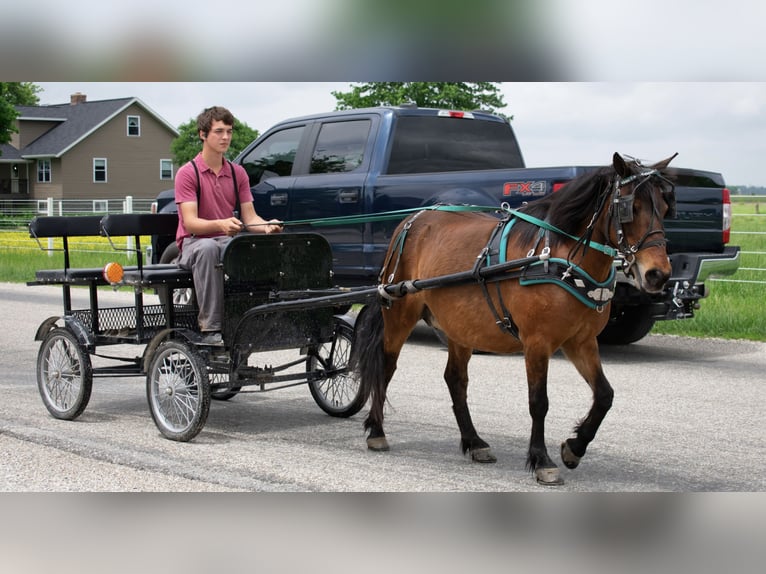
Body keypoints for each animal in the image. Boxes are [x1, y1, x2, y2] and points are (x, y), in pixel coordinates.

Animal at [352, 153, 680, 486]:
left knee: (455, 380)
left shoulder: (581, 341)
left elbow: (604, 395)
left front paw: (574, 447)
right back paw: (377, 431)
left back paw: (474, 442)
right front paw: (542, 460)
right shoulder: (537, 342)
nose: (658, 274)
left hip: (460, 326)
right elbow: (539, 401)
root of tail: (411, 221)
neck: (555, 258)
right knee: (386, 367)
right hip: (400, 313)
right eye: (630, 207)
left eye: (666, 208)